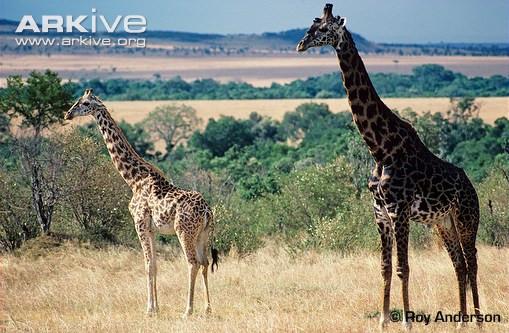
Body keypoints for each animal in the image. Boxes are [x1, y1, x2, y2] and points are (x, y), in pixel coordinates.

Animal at [64, 88, 217, 316]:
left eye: (84, 103)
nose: (67, 114)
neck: (134, 180)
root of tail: (207, 210)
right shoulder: (151, 229)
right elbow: (155, 265)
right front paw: (157, 308)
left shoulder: (140, 223)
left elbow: (147, 265)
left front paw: (149, 309)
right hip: (202, 233)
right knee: (205, 263)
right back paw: (207, 308)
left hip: (184, 231)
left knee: (193, 263)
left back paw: (188, 310)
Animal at [296, 3, 478, 330]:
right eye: (311, 25)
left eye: (324, 29)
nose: (300, 45)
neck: (380, 150)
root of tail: (472, 187)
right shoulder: (380, 213)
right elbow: (384, 267)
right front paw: (382, 320)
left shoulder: (400, 210)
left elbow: (404, 267)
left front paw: (406, 322)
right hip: (443, 222)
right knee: (459, 263)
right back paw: (461, 321)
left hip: (466, 217)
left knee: (472, 262)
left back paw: (479, 320)